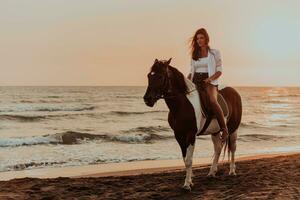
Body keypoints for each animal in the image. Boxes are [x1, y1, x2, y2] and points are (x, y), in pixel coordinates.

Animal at [142, 57, 243, 191]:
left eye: (160, 76)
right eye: (149, 75)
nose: (147, 99)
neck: (181, 105)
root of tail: (235, 92)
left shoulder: (190, 134)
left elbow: (189, 160)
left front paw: (187, 185)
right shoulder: (178, 135)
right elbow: (185, 159)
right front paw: (190, 181)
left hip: (233, 129)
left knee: (233, 148)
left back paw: (232, 171)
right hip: (215, 131)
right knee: (218, 148)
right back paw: (212, 172)